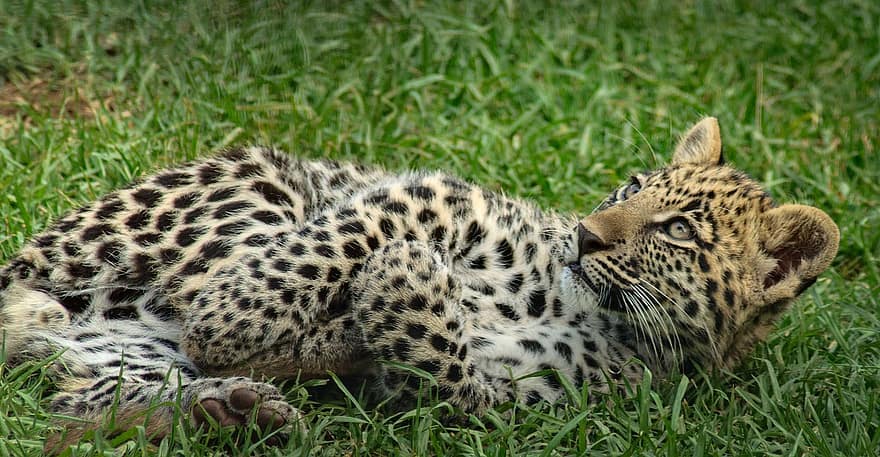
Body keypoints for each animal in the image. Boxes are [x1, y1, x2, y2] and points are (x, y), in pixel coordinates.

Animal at [0, 116, 840, 448]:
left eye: (676, 230)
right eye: (630, 186)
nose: (585, 235)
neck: (586, 307)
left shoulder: (515, 399)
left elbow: (446, 370)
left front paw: (396, 289)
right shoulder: (436, 195)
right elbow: (345, 238)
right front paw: (240, 315)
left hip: (119, 363)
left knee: (74, 403)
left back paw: (235, 409)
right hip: (256, 188)